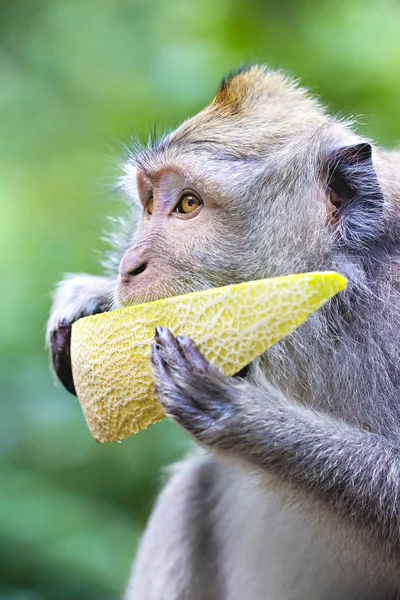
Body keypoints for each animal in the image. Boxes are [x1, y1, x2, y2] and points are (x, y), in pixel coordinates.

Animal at [47, 67, 400, 600]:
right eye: (148, 202)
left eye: (188, 204)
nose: (129, 267)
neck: (336, 302)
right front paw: (89, 298)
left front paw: (238, 414)